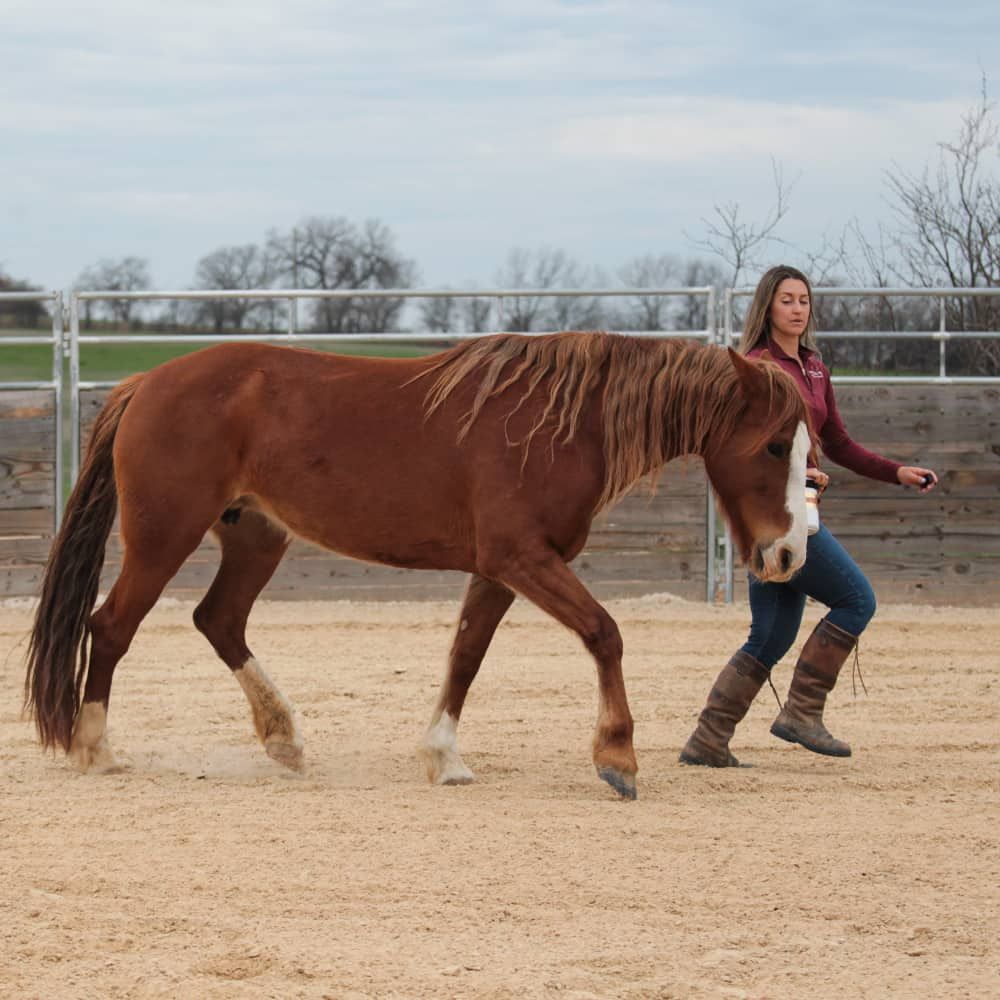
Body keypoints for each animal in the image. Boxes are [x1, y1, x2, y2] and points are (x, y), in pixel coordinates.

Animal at [24, 331, 811, 799]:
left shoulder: (500, 569)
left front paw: (444, 757)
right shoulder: (521, 558)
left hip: (256, 537)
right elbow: (604, 633)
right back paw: (96, 748)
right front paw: (617, 758)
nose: (790, 553)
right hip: (165, 535)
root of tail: (146, 383)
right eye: (775, 446)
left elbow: (465, 655)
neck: (560, 424)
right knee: (111, 626)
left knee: (218, 621)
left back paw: (284, 739)